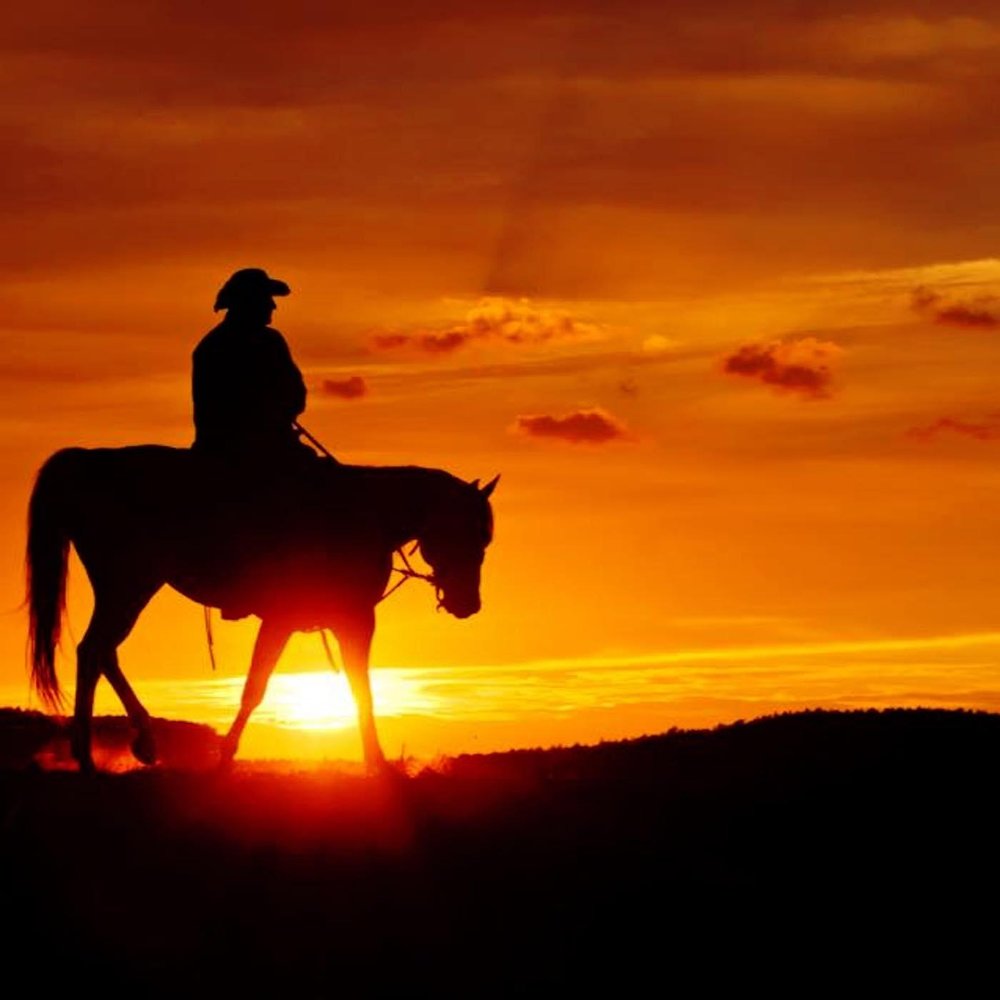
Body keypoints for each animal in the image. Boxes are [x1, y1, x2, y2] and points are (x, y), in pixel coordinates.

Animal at [20, 446, 496, 772]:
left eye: (484, 538)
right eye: (465, 533)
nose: (468, 604)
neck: (367, 516)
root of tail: (87, 461)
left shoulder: (324, 622)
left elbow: (340, 688)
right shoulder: (327, 620)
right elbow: (271, 688)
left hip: (127, 588)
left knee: (103, 653)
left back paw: (140, 741)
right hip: (129, 585)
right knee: (93, 651)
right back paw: (87, 755)